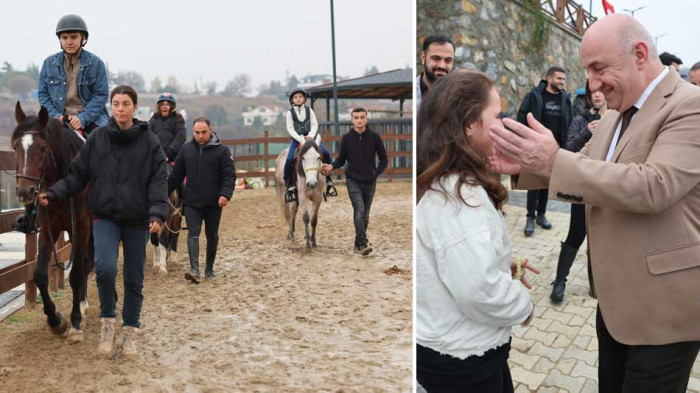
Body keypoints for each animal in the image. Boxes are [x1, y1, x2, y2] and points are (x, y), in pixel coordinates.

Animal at [11, 103, 94, 344]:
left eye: (42, 148)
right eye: (15, 147)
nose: (25, 192)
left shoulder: (81, 228)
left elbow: (76, 274)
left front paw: (75, 323)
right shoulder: (49, 229)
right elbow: (39, 275)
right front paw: (55, 320)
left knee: (87, 264)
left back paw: (82, 306)